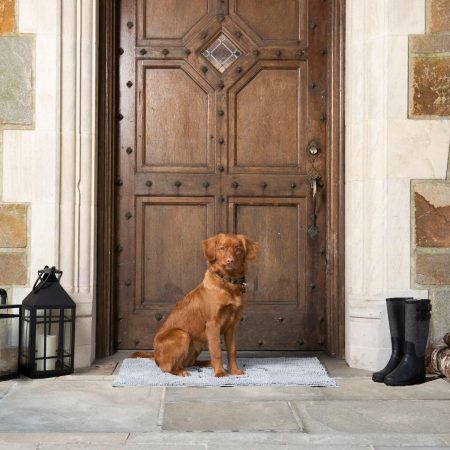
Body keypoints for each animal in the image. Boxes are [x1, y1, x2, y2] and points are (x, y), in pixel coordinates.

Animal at [131, 234, 256, 378]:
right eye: (222, 248)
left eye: (238, 248)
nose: (229, 261)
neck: (228, 285)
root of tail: (155, 355)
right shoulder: (213, 324)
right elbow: (216, 351)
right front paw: (220, 373)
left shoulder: (232, 326)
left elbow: (232, 350)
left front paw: (234, 371)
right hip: (182, 335)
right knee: (166, 367)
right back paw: (182, 372)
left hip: (197, 344)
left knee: (189, 362)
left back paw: (207, 363)